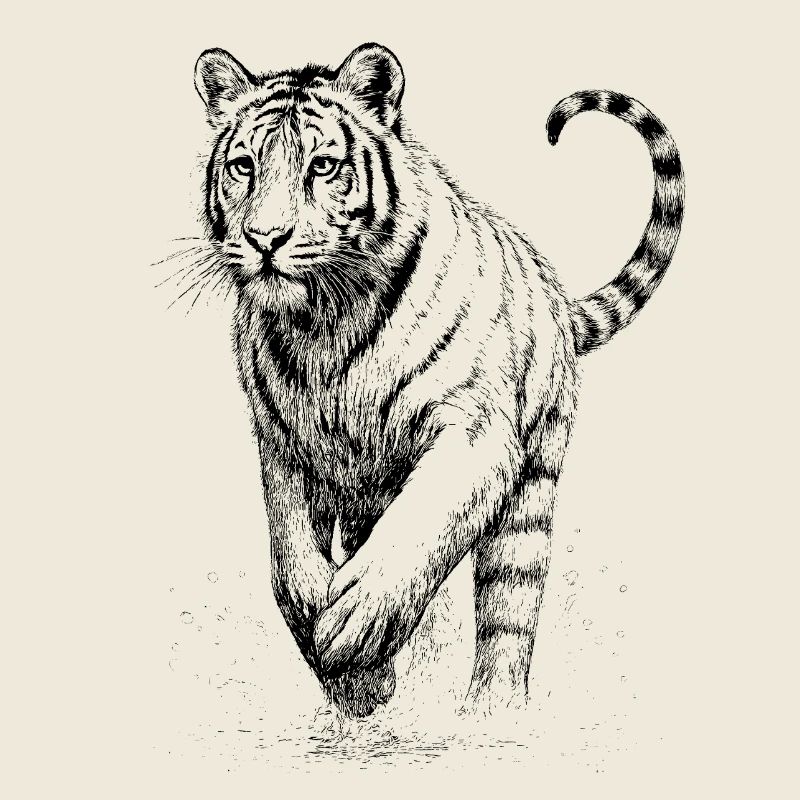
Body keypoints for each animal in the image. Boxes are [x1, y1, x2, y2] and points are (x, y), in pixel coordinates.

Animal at [188, 42, 684, 718]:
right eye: (243, 167)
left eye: (322, 166)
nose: (264, 239)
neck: (323, 323)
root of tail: (556, 296)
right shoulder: (283, 442)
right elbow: (290, 558)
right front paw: (348, 671)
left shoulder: (474, 432)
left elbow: (420, 527)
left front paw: (355, 626)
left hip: (531, 493)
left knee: (508, 609)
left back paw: (491, 713)